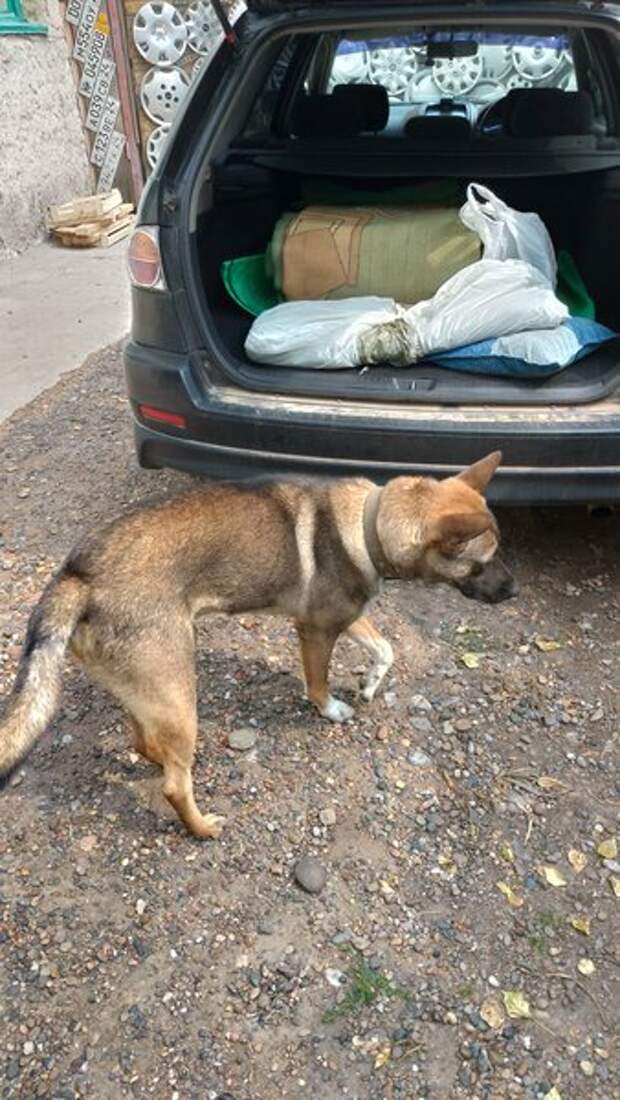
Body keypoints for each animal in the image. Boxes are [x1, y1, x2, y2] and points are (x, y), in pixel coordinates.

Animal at [0, 451, 514, 836]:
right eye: (481, 562)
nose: (513, 591)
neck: (367, 525)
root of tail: (77, 577)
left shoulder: (347, 616)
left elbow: (385, 648)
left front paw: (370, 683)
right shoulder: (316, 630)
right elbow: (318, 685)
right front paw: (333, 708)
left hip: (149, 691)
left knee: (144, 741)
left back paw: (162, 760)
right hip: (178, 694)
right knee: (173, 786)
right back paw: (202, 828)